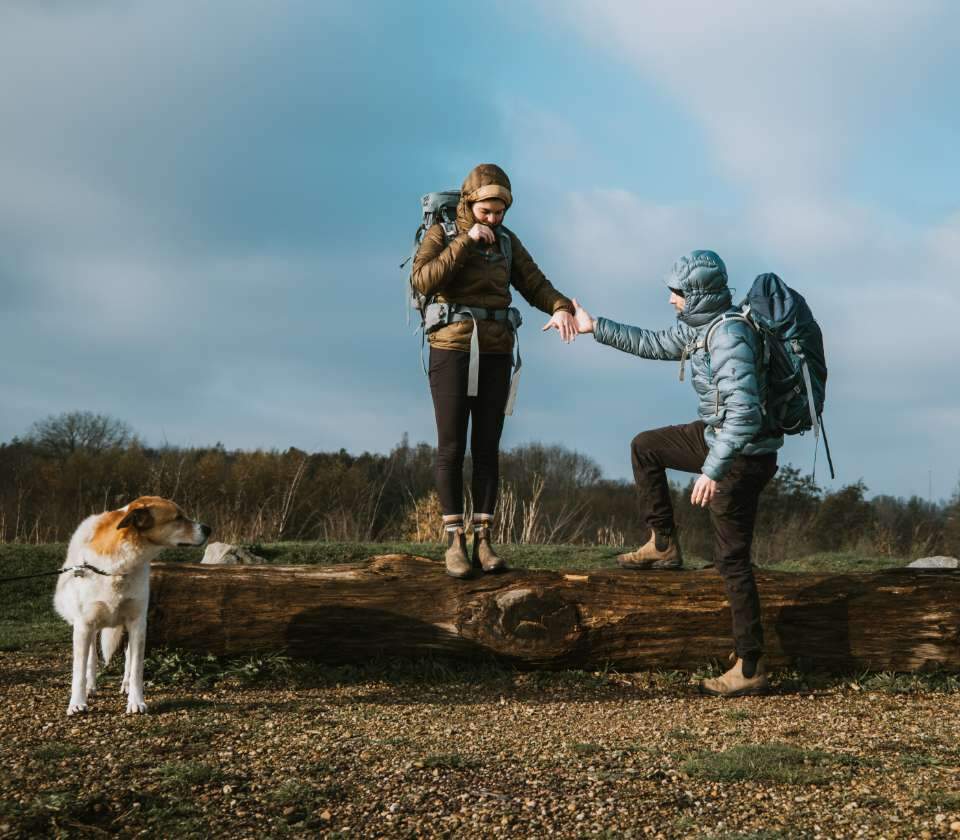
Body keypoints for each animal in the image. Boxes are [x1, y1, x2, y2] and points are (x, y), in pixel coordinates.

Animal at [53, 496, 211, 715]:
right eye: (178, 517)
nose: (208, 529)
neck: (117, 567)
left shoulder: (138, 623)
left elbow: (136, 667)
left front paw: (136, 701)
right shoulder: (84, 624)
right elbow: (79, 668)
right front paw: (77, 702)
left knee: (128, 657)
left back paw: (126, 684)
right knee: (91, 655)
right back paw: (90, 685)